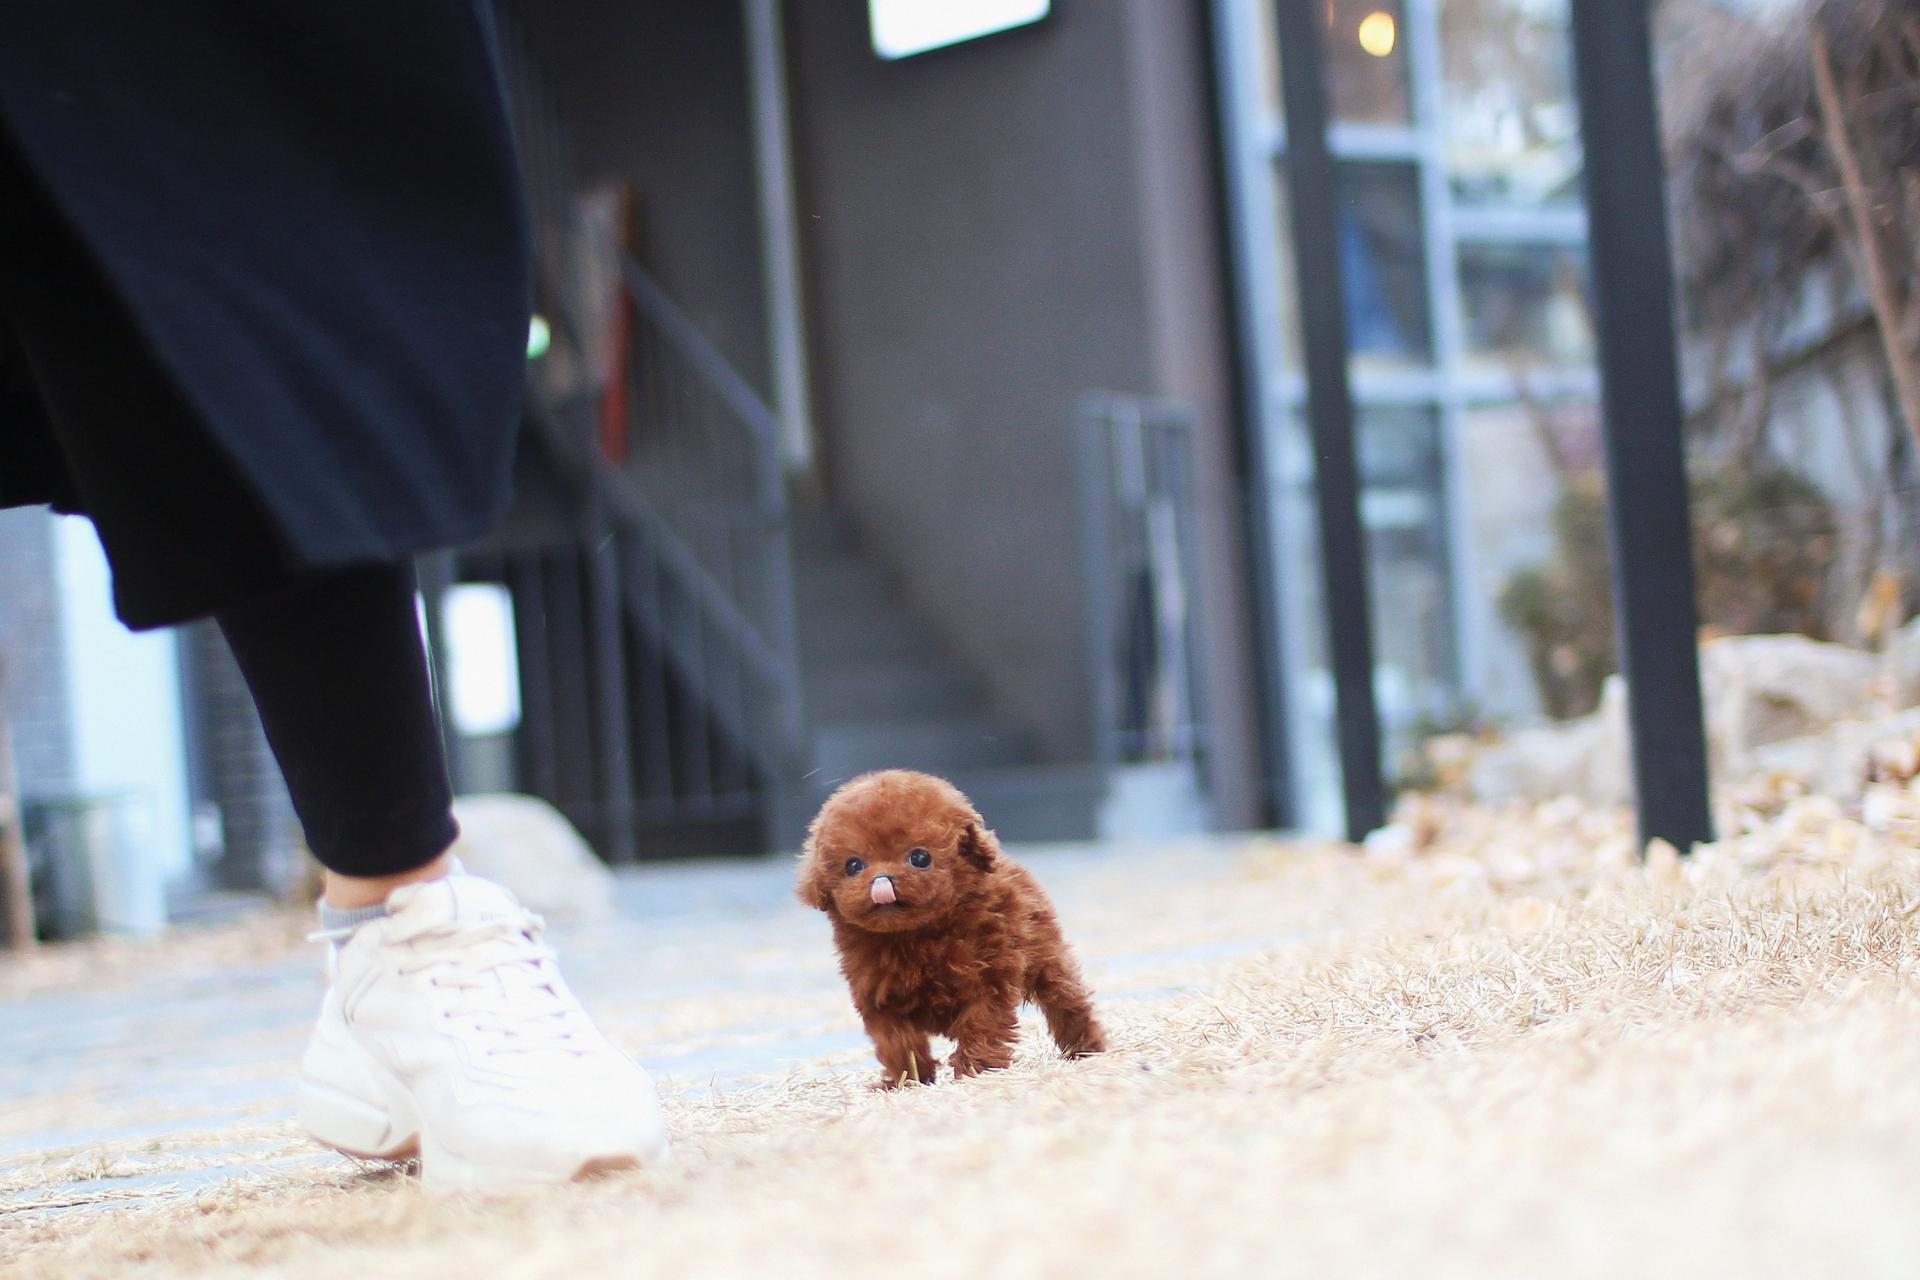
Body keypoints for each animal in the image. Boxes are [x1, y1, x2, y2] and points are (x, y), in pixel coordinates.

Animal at [797, 769, 1106, 1087]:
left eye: (920, 858)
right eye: (854, 865)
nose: (882, 881)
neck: (912, 936)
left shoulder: (988, 977)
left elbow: (981, 1024)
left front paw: (975, 1067)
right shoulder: (879, 996)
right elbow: (897, 1041)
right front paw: (904, 1079)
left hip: (1046, 956)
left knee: (1066, 1000)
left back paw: (1085, 1047)